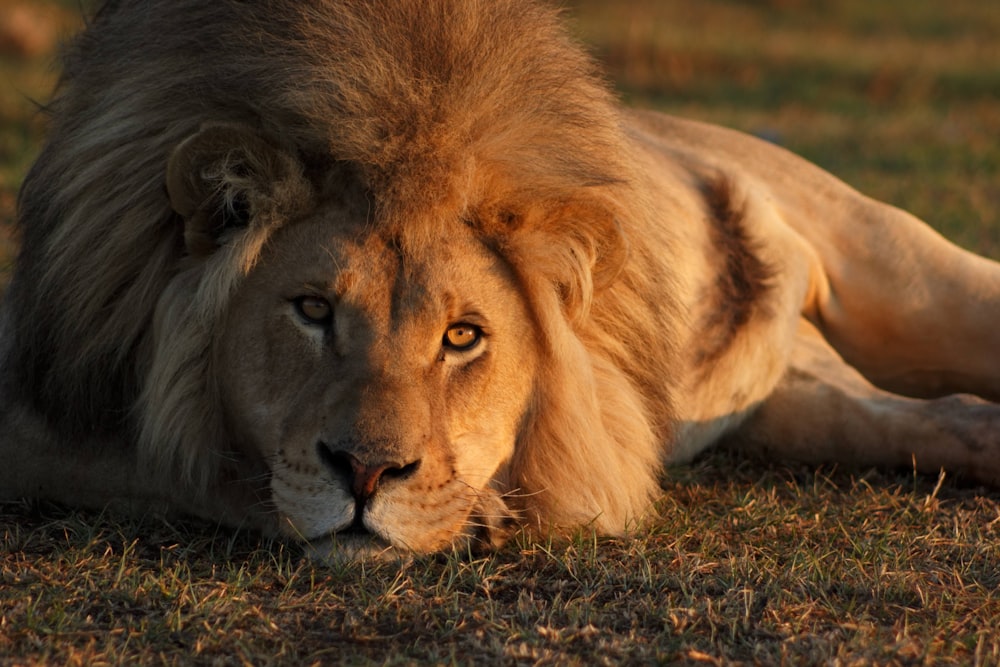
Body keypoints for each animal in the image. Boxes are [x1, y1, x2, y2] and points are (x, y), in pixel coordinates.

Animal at [1, 0, 1000, 564]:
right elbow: (175, 468)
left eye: (463, 336)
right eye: (313, 310)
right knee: (933, 416)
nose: (368, 472)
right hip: (793, 404)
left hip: (900, 264)